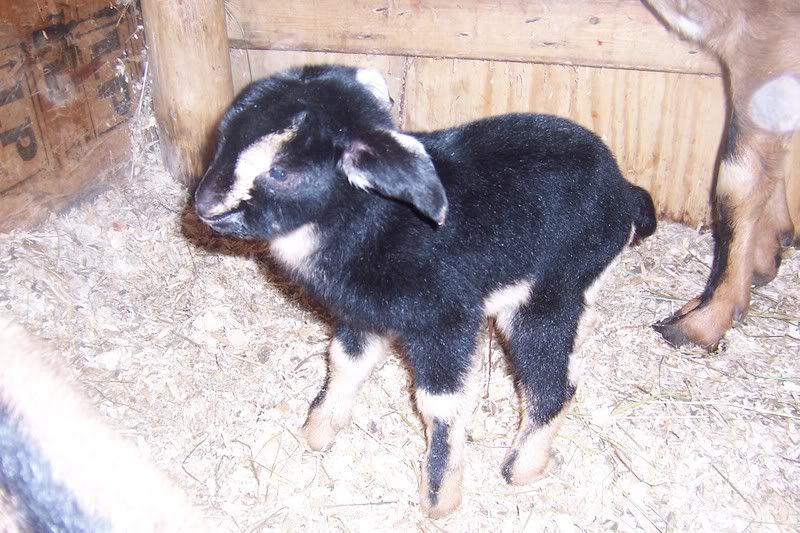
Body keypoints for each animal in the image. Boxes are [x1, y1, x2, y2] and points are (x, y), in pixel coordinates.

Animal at [193, 64, 657, 517]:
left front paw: (439, 499)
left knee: (554, 384)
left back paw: (521, 467)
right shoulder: (363, 316)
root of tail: (624, 192)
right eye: (224, 136)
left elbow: (442, 404)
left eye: (280, 171)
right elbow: (344, 362)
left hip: (543, 298)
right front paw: (316, 431)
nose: (203, 205)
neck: (372, 223)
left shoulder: (444, 323)